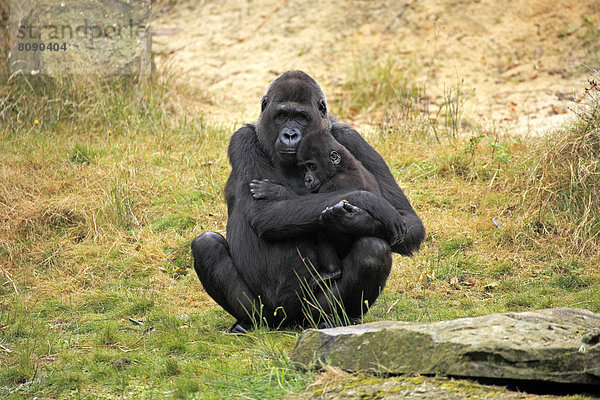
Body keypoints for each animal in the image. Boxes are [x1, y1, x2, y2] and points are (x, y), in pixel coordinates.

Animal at [298, 133, 382, 280]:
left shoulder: (334, 185)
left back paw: (333, 271)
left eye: (312, 166)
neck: (343, 166)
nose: (307, 179)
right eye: (304, 168)